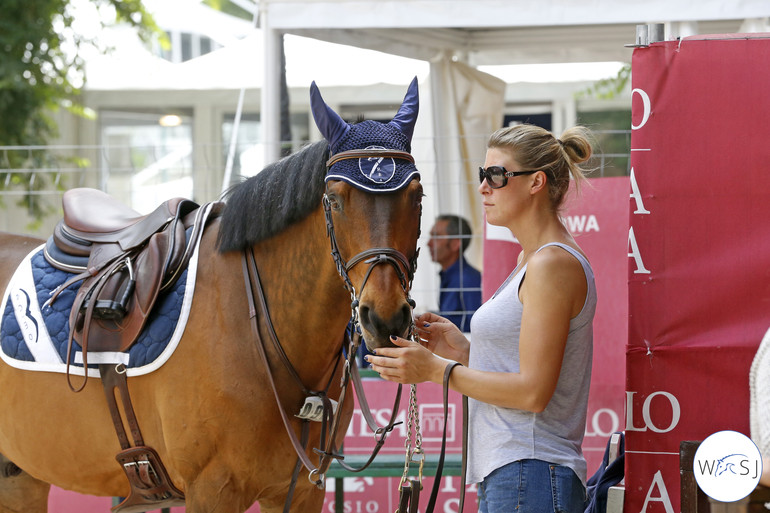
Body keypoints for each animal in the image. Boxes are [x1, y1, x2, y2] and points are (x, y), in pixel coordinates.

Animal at [0, 78, 420, 510]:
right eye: (335, 200)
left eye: (417, 196)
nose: (385, 319)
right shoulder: (212, 489)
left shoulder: (302, 491)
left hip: (20, 478)